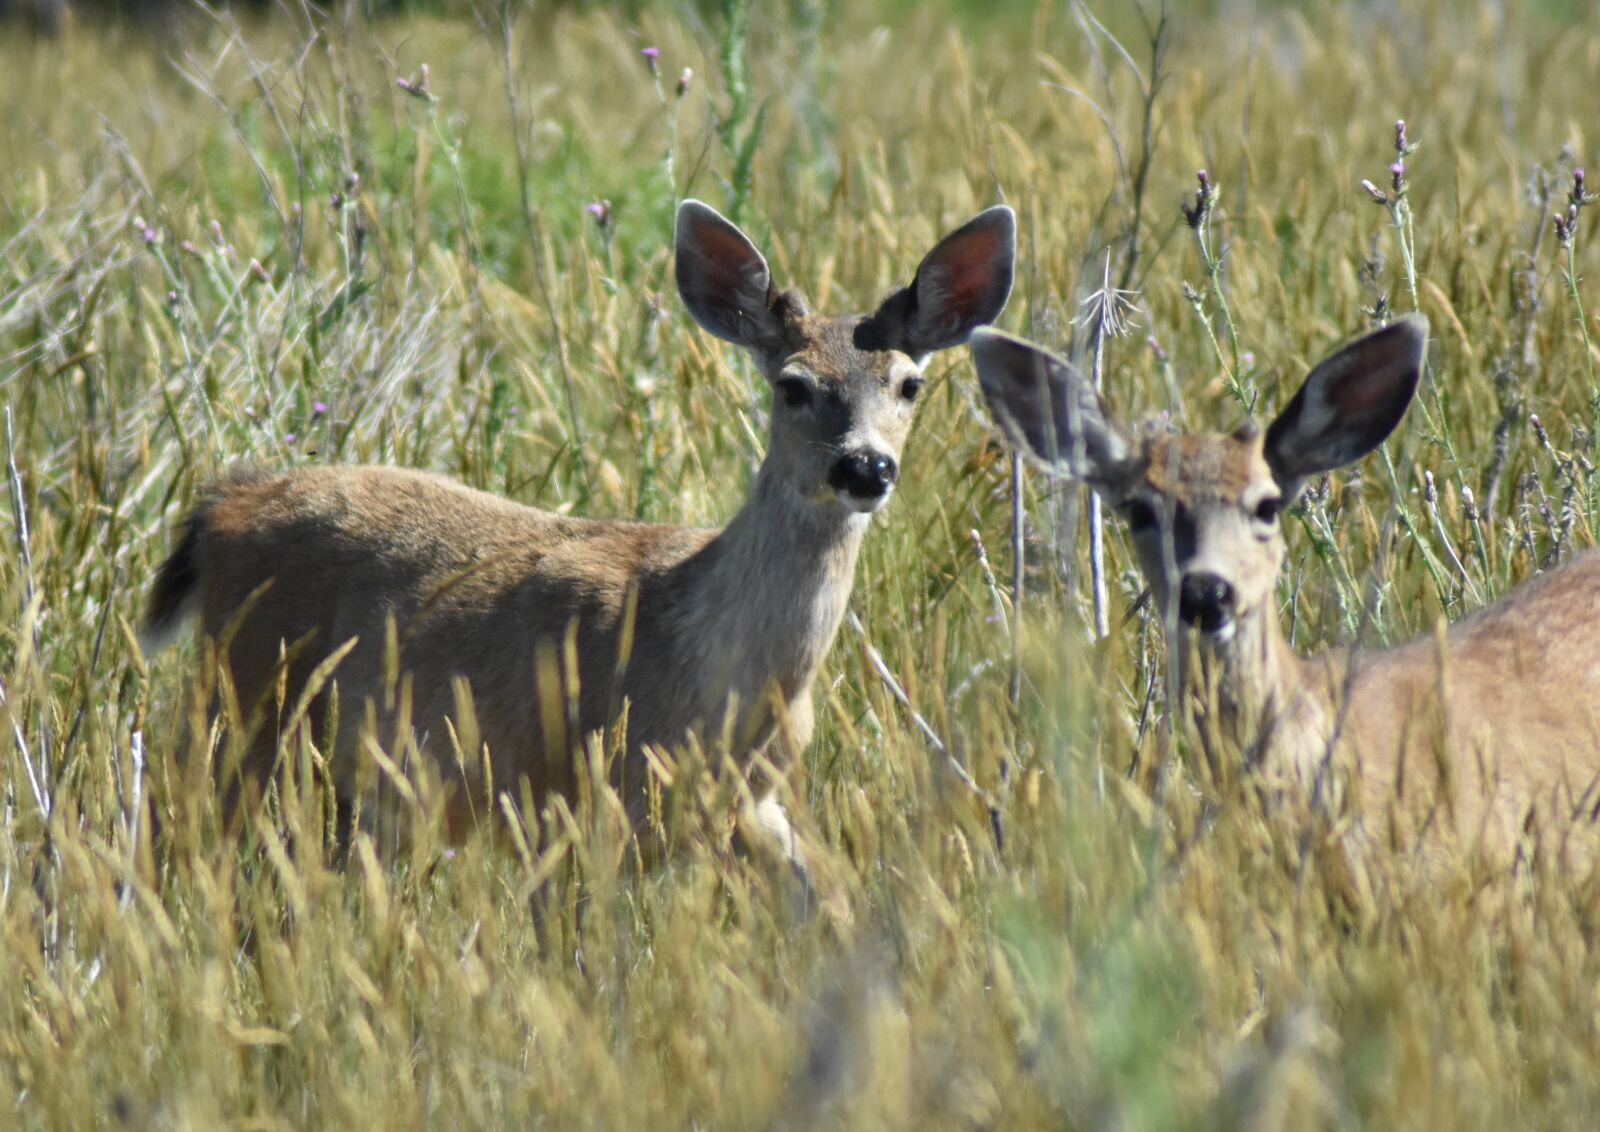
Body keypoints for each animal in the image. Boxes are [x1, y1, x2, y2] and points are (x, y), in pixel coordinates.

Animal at [141, 198, 1016, 875]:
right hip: (249, 713)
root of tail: (225, 503)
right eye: (793, 386)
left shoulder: (747, 804)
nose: (865, 465)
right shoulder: (569, 794)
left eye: (910, 383)